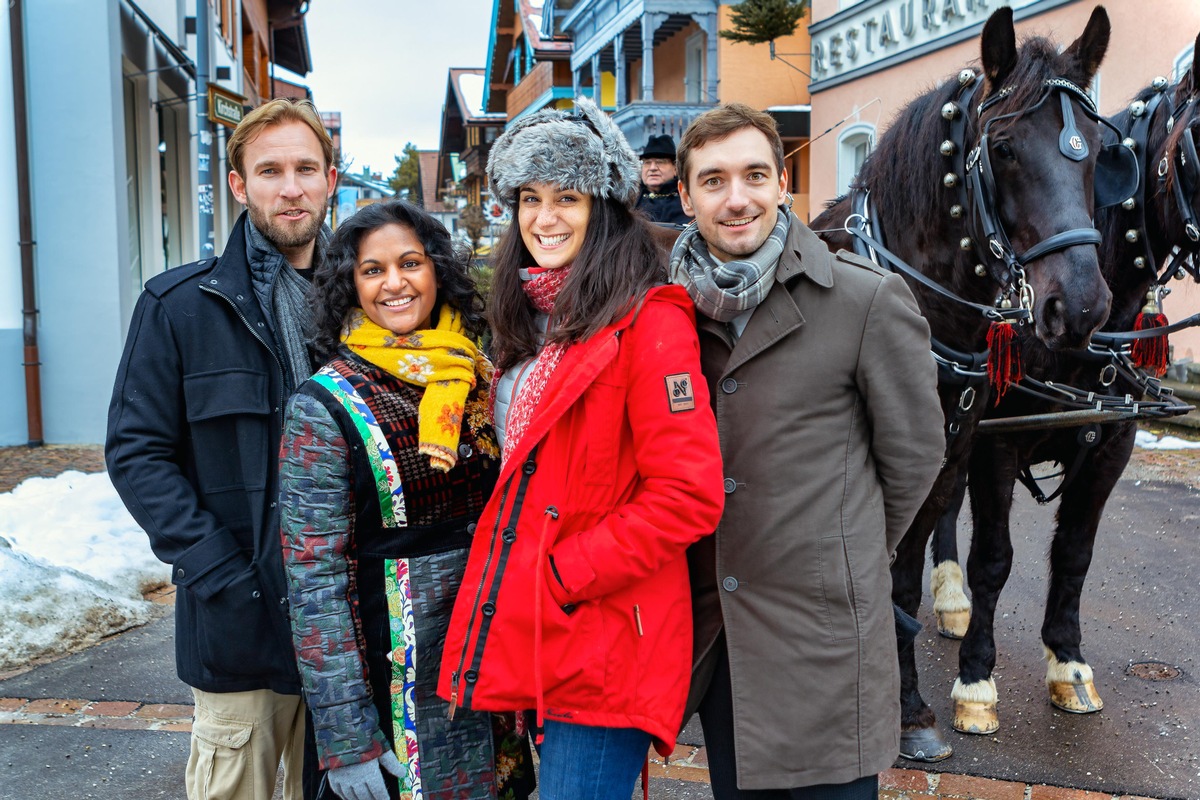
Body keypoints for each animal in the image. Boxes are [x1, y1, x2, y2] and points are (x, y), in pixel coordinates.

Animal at [811, 7, 1118, 767]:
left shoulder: (948, 456)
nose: (1082, 307)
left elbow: (900, 578)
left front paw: (909, 709)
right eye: (1003, 148)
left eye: (1100, 149)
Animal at [921, 34, 1195, 743]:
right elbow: (995, 558)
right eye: (1199, 143)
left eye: (1102, 157)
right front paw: (976, 680)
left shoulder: (1111, 444)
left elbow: (1074, 554)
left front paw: (1068, 663)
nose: (1078, 306)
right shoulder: (995, 442)